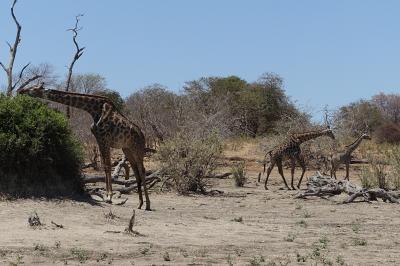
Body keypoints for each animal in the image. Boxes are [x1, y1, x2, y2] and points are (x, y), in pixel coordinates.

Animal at [17, 84, 152, 210]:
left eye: (34, 89)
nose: (20, 91)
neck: (93, 109)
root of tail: (143, 135)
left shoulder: (105, 139)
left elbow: (108, 165)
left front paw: (109, 196)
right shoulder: (99, 139)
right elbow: (105, 166)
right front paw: (107, 196)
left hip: (138, 148)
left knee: (142, 170)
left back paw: (148, 205)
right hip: (127, 149)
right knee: (136, 171)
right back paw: (140, 204)